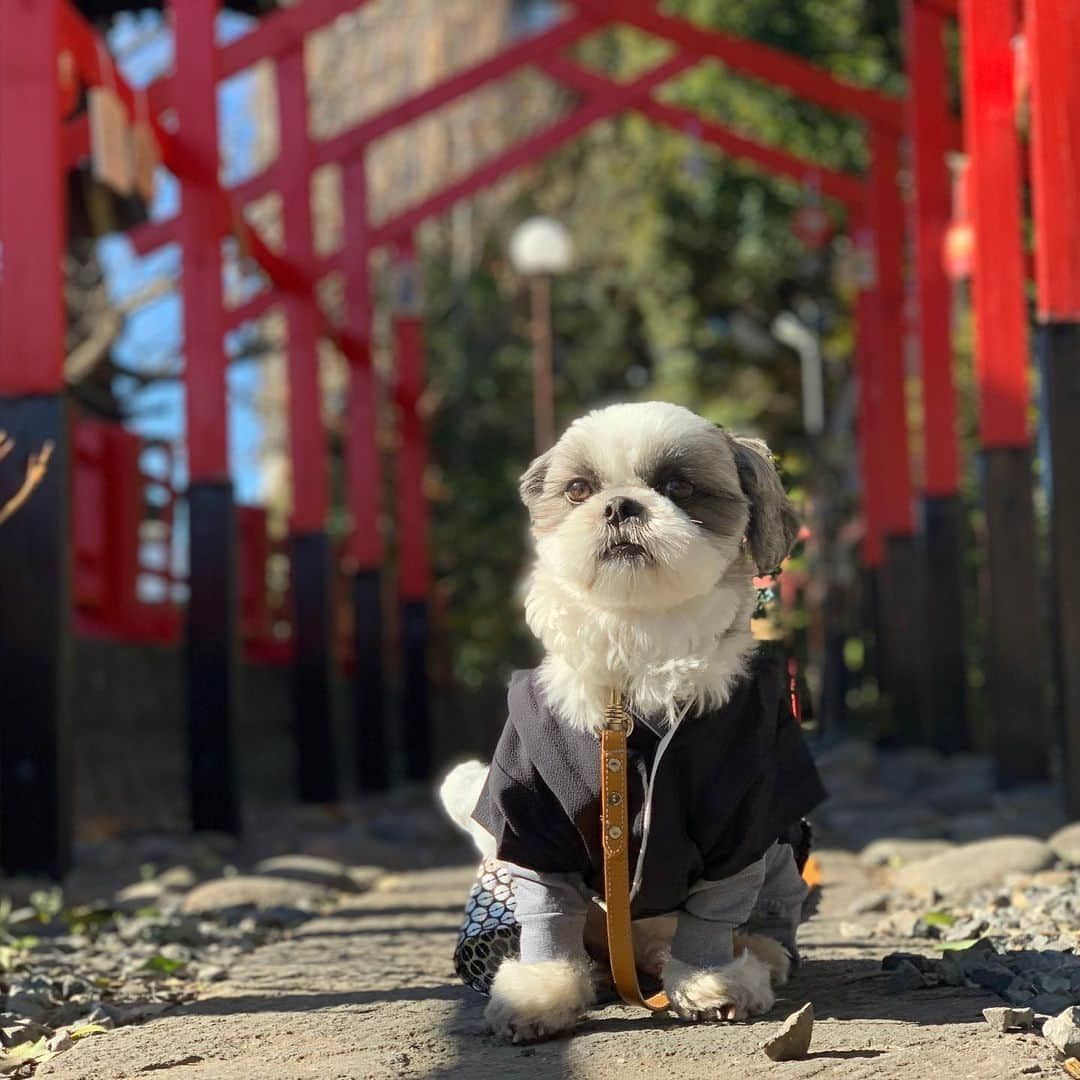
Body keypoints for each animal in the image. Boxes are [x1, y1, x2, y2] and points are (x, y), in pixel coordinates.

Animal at [438, 401, 825, 1041]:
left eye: (678, 487)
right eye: (578, 489)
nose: (620, 505)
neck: (638, 643)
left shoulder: (742, 819)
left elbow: (713, 912)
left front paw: (711, 982)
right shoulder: (535, 820)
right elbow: (548, 914)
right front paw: (539, 993)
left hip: (779, 869)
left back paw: (757, 957)